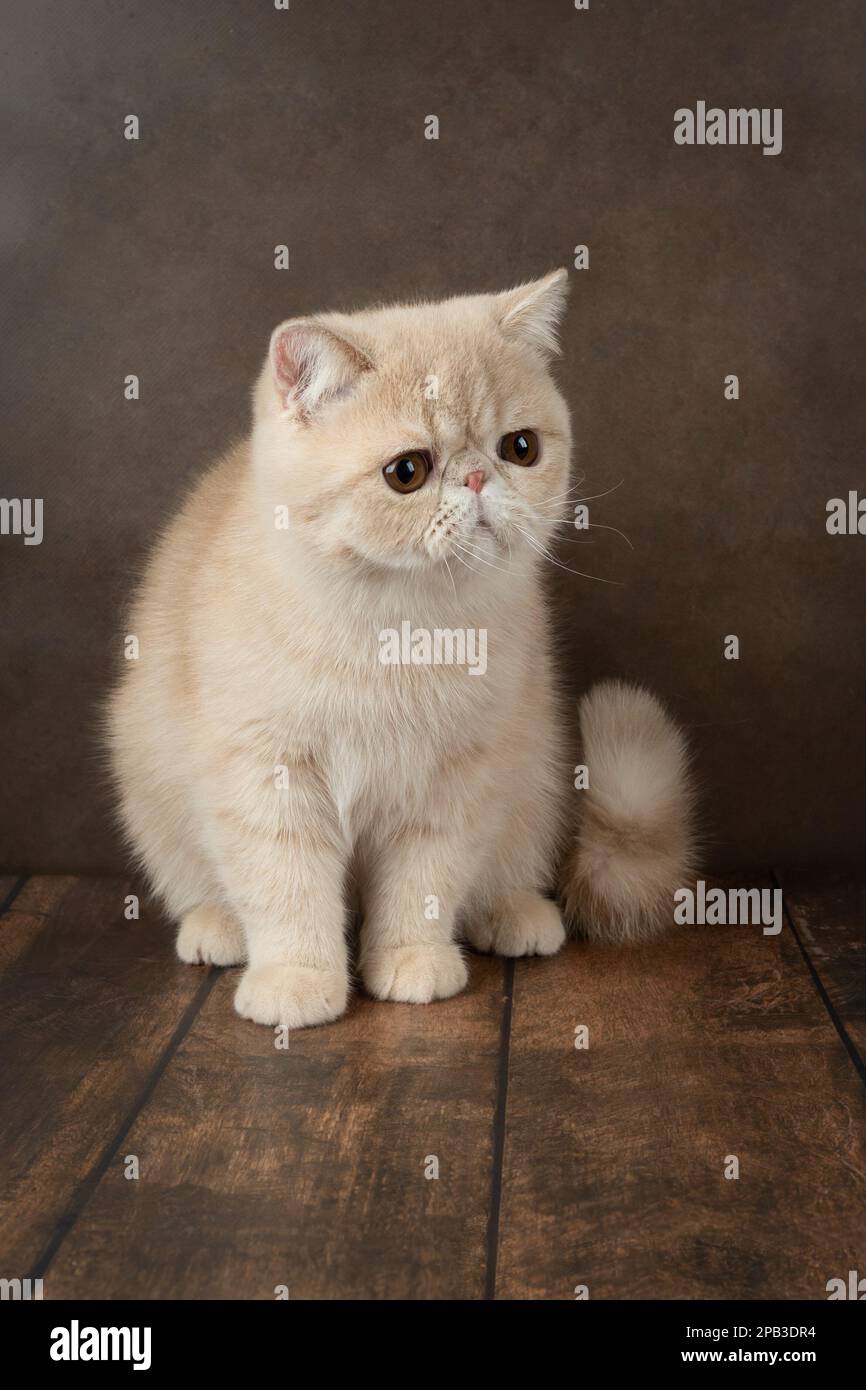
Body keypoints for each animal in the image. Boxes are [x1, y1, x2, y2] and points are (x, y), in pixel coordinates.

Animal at [104, 273, 695, 1034]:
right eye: (407, 472)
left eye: (521, 448)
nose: (476, 479)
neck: (400, 630)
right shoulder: (266, 773)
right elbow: (286, 886)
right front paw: (297, 977)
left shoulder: (454, 779)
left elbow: (425, 883)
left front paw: (412, 959)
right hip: (149, 786)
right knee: (201, 882)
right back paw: (218, 927)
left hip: (533, 774)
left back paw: (514, 913)